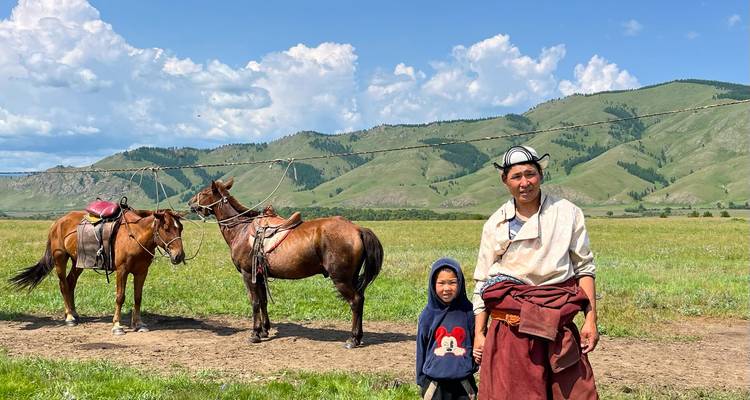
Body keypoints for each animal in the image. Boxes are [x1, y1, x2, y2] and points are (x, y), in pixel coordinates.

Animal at [9, 208, 185, 335]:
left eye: (181, 228)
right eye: (166, 228)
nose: (179, 256)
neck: (135, 236)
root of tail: (57, 222)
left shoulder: (141, 272)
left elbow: (138, 298)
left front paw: (138, 324)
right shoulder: (122, 271)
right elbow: (120, 297)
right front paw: (117, 326)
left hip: (78, 262)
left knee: (71, 282)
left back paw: (75, 313)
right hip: (60, 258)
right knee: (63, 285)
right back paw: (69, 317)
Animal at [188, 178, 383, 348]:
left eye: (204, 192)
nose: (190, 203)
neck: (240, 229)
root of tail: (357, 229)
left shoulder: (248, 274)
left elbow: (255, 302)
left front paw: (254, 334)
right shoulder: (259, 275)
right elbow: (263, 301)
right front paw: (264, 330)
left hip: (341, 279)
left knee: (356, 301)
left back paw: (353, 339)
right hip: (351, 278)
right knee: (361, 299)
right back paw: (358, 336)